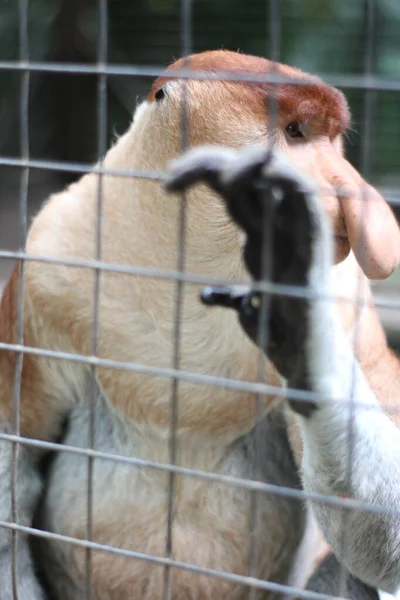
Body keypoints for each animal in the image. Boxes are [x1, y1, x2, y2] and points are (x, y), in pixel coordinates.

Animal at [0, 49, 398, 596]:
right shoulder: (48, 271)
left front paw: (297, 312)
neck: (187, 266)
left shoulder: (348, 295)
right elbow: (14, 456)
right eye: (296, 132)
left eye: (330, 138)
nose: (348, 188)